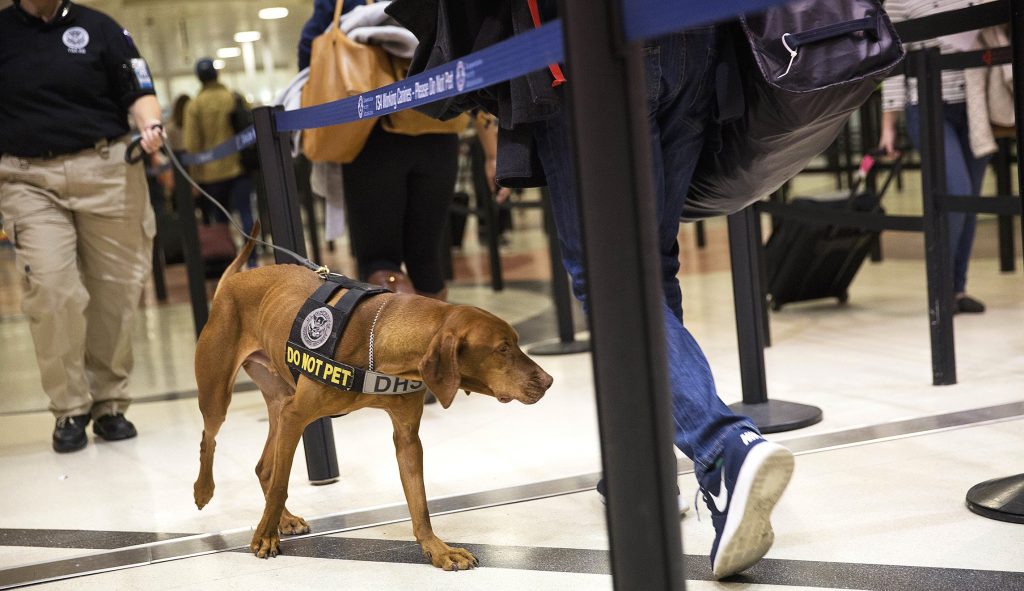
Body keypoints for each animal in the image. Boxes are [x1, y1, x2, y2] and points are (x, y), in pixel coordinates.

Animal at [194, 228, 557, 569]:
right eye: (502, 349)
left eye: (515, 342)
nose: (549, 380)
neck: (381, 343)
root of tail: (231, 281)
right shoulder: (296, 416)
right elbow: (282, 483)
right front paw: (264, 537)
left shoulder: (406, 437)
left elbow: (419, 503)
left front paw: (437, 549)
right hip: (219, 395)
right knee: (212, 439)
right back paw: (205, 490)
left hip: (279, 401)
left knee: (265, 468)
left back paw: (284, 518)